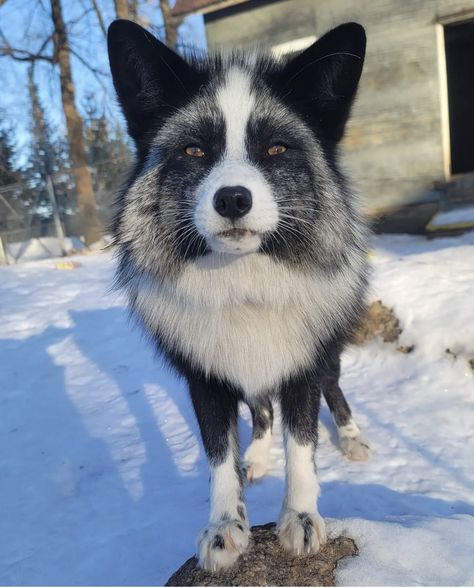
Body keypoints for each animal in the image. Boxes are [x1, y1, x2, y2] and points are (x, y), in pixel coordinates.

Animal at [106, 20, 370, 572]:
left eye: (276, 149)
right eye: (194, 150)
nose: (231, 199)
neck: (244, 286)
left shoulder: (302, 366)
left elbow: (304, 443)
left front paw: (301, 519)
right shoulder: (204, 376)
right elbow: (218, 455)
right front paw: (225, 525)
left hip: (328, 352)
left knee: (333, 391)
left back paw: (353, 437)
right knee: (261, 410)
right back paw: (258, 456)